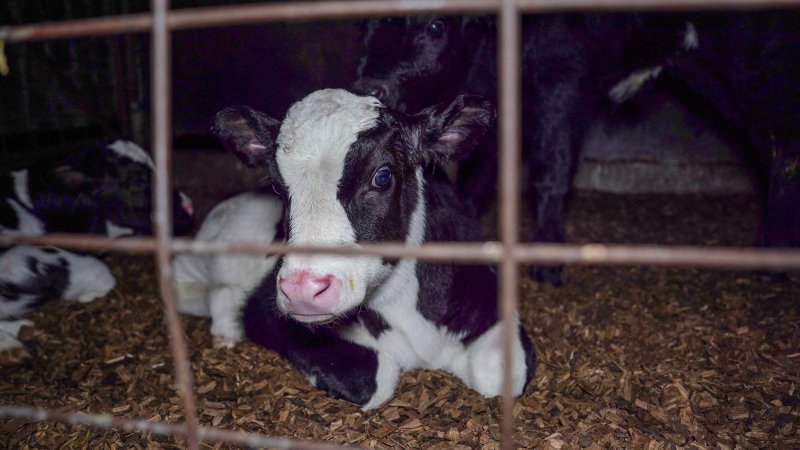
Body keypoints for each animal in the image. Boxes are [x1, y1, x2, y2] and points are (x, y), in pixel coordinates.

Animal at [210, 88, 536, 409]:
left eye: (382, 177)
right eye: (278, 188)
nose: (303, 289)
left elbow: (500, 374)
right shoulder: (263, 310)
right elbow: (372, 377)